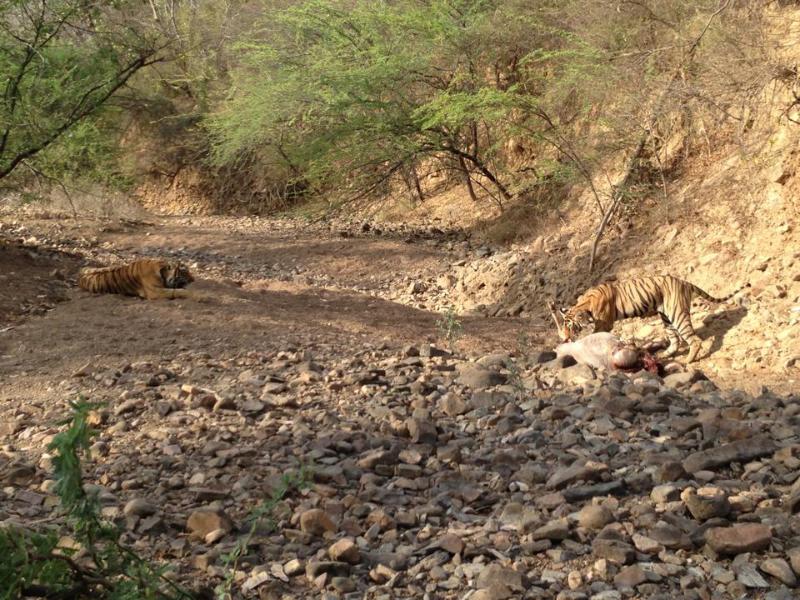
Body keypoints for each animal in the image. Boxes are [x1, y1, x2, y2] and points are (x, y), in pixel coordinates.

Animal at [552, 274, 752, 364]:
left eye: (570, 326)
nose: (565, 338)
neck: (584, 305)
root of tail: (684, 281)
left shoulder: (604, 323)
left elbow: (595, 335)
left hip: (677, 314)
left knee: (694, 339)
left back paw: (688, 360)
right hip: (666, 317)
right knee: (675, 340)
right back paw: (665, 355)